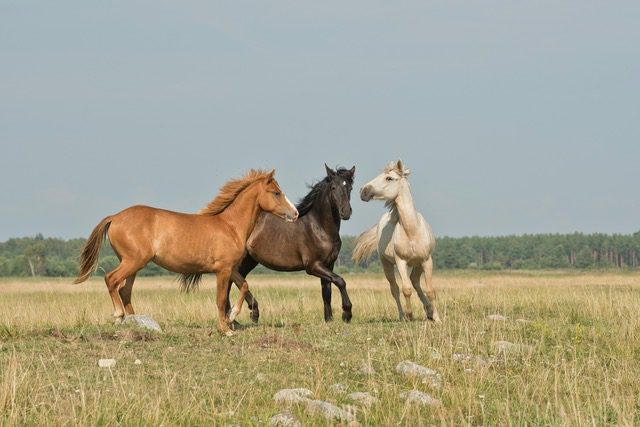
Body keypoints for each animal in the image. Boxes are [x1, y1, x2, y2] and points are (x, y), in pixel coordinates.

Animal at [73, 169, 299, 335]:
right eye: (276, 192)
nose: (295, 213)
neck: (230, 226)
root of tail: (115, 217)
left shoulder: (231, 268)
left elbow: (244, 286)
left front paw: (233, 316)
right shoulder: (222, 270)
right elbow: (220, 299)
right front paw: (225, 329)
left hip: (133, 265)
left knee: (124, 290)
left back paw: (137, 322)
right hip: (133, 261)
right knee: (111, 280)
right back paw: (119, 316)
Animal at [226, 164, 356, 323]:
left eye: (350, 187)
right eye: (333, 187)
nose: (346, 212)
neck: (319, 227)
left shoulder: (328, 264)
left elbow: (327, 291)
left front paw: (329, 320)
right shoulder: (313, 266)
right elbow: (340, 280)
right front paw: (346, 314)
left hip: (249, 260)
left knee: (236, 279)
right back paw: (241, 314)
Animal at [353, 160, 440, 322]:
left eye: (389, 178)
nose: (363, 191)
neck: (412, 231)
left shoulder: (427, 261)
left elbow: (430, 290)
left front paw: (437, 318)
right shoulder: (401, 262)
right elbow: (406, 289)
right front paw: (410, 315)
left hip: (418, 264)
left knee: (415, 281)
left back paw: (429, 311)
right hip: (386, 264)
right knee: (395, 289)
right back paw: (402, 316)